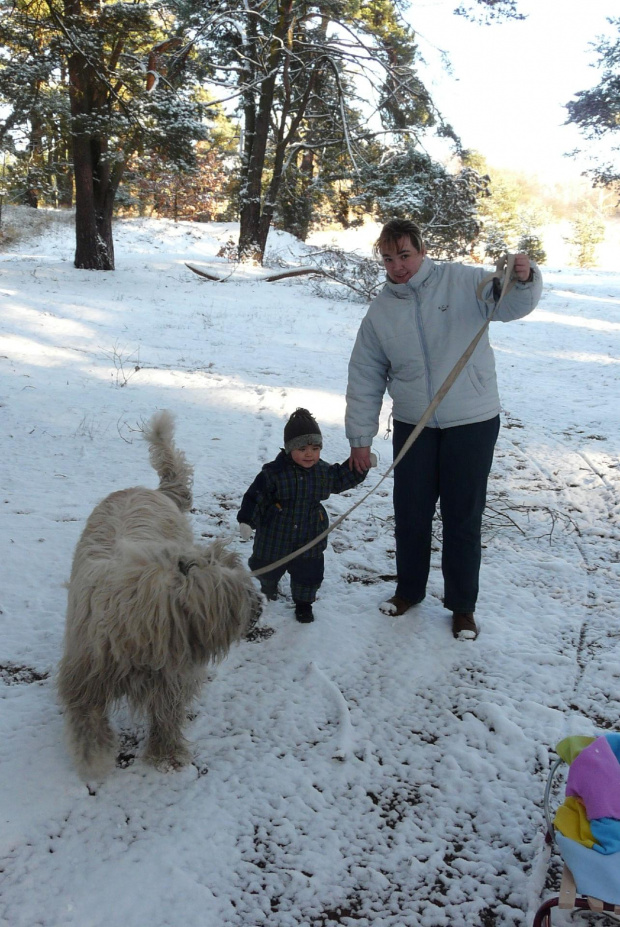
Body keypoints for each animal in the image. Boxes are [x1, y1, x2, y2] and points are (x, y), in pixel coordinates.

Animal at [57, 410, 260, 780]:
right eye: (234, 597)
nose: (259, 606)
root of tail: (153, 490)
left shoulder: (169, 676)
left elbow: (166, 710)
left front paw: (166, 753)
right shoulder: (86, 671)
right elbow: (87, 719)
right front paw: (95, 762)